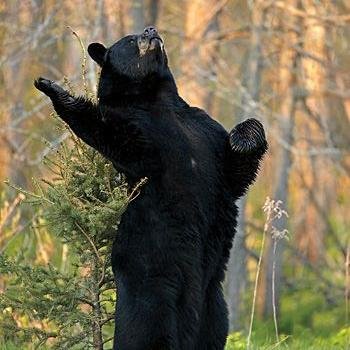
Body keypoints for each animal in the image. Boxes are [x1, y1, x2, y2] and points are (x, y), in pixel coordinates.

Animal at [34, 26, 266, 348]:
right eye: (131, 39)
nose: (151, 30)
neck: (156, 98)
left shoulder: (204, 131)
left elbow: (235, 173)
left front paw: (243, 137)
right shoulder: (141, 134)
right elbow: (113, 136)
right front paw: (52, 88)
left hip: (213, 298)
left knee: (215, 328)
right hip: (152, 283)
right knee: (147, 330)